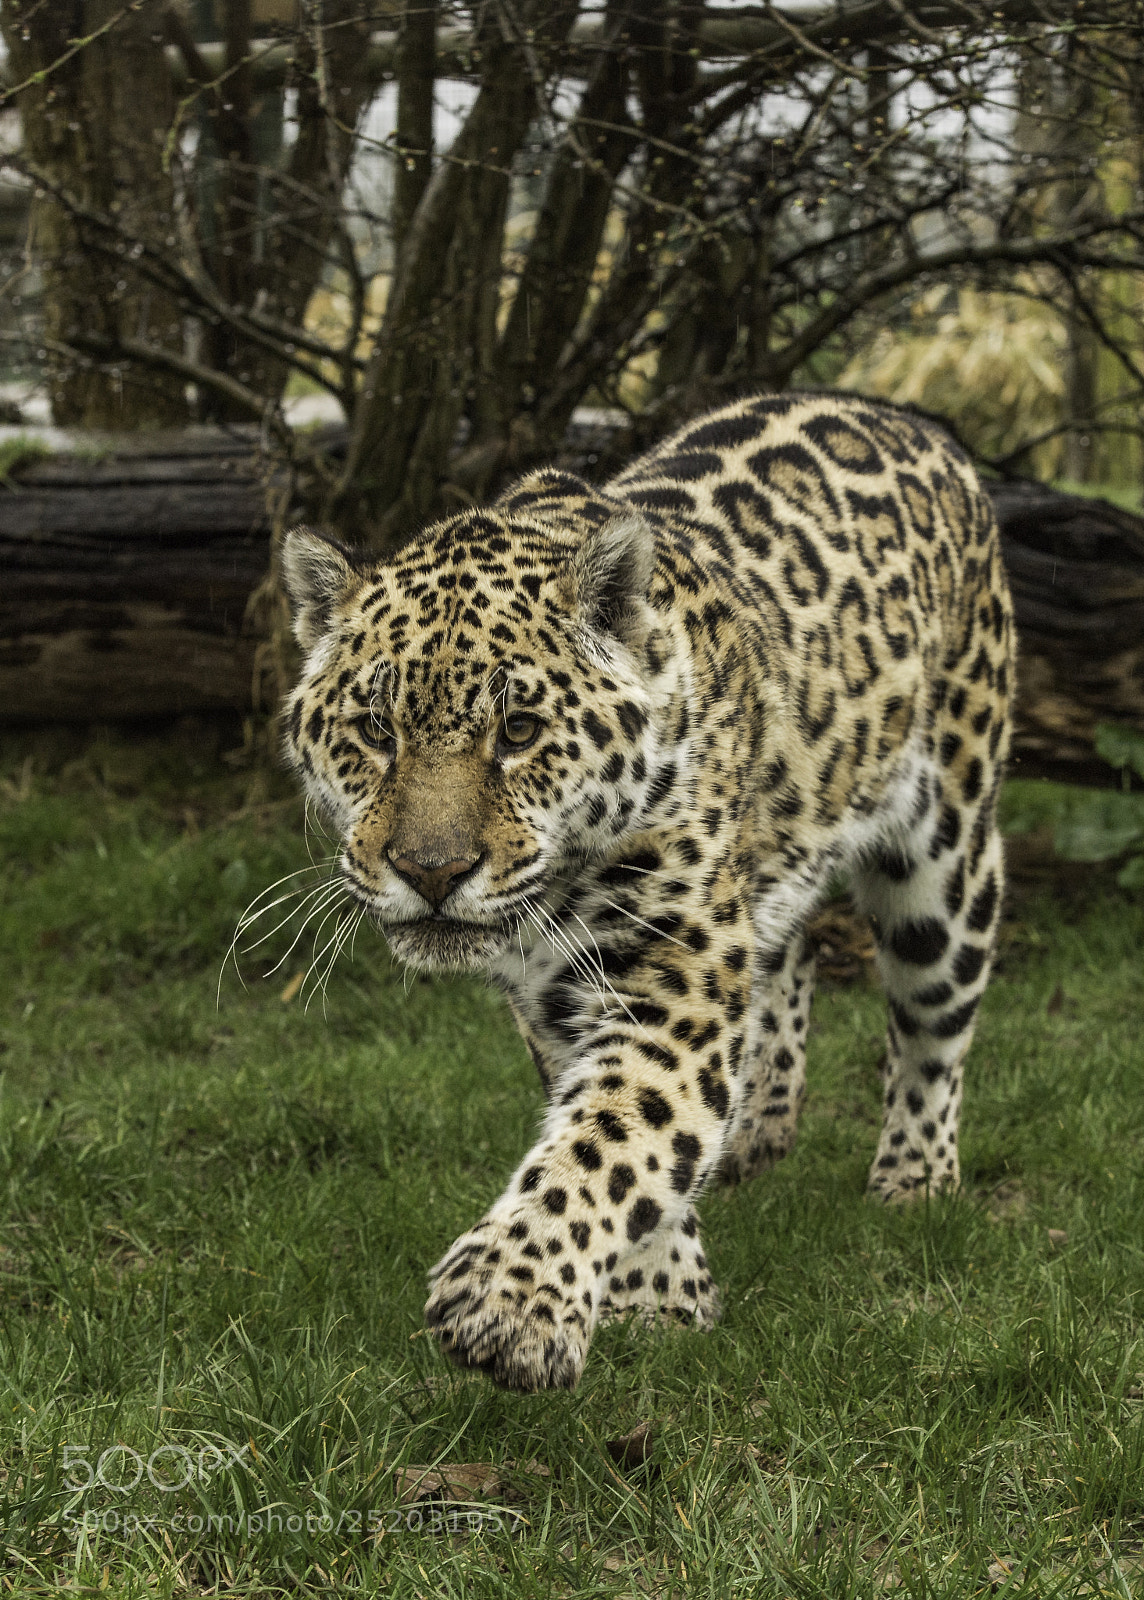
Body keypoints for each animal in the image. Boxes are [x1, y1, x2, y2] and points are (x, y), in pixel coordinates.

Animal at [280, 390, 1014, 1393]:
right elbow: (633, 1133)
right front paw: (662, 1295)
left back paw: (914, 1183)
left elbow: (615, 1132)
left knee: (935, 1027)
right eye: (374, 729)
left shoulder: (678, 974)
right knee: (785, 951)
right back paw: (759, 1124)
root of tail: (910, 421)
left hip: (946, 853)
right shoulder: (559, 993)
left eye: (518, 731)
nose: (430, 871)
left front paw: (509, 1305)